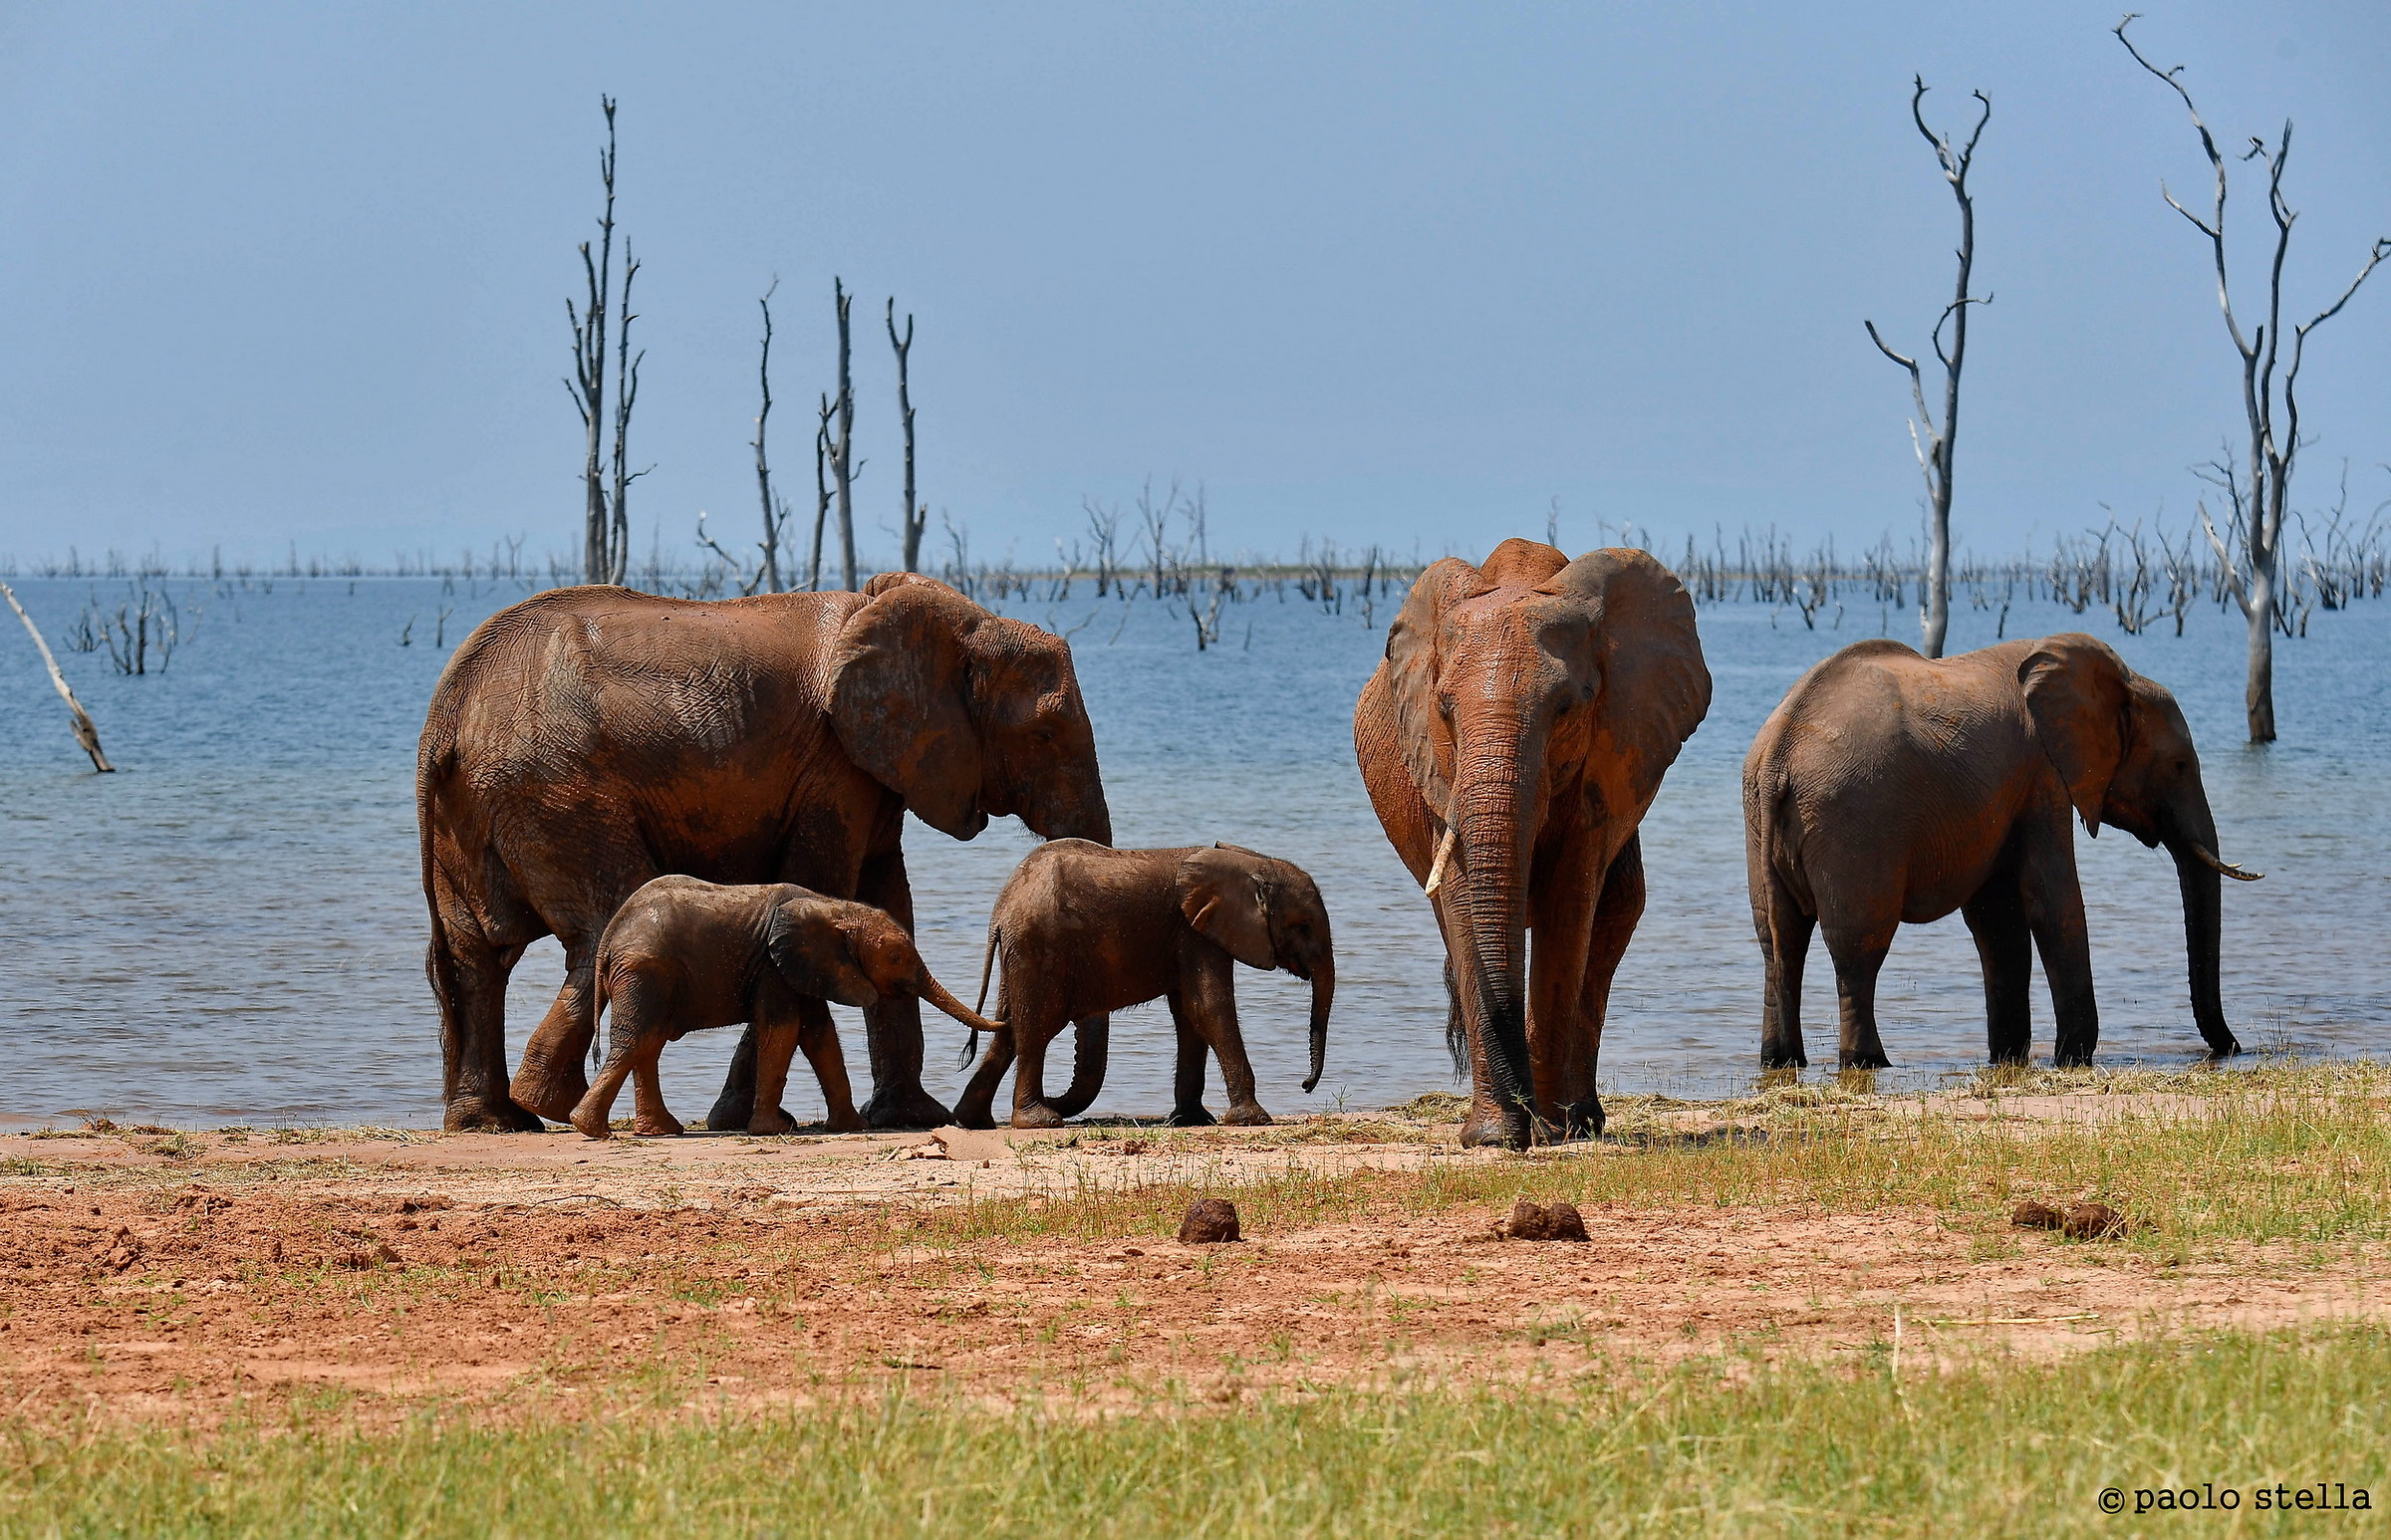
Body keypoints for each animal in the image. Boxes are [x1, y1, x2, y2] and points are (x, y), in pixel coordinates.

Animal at [568, 877, 1005, 1140]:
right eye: (896, 958)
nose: (1003, 1022)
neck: (835, 908)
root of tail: (609, 937)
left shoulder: (807, 967)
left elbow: (819, 1035)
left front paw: (852, 1126)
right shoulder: (773, 967)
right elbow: (784, 1029)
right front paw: (771, 1129)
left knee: (648, 1044)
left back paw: (657, 1132)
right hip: (646, 972)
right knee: (638, 1041)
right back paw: (592, 1129)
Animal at [950, 840, 1333, 1129]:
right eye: (1303, 927)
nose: (1305, 1085)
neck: (1250, 861)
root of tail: (1001, 911)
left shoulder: (1189, 936)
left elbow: (1190, 1014)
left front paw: (1191, 1119)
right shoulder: (1196, 934)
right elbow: (1210, 1006)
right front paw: (1254, 1119)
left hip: (1020, 955)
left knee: (1008, 1029)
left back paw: (972, 1121)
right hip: (1039, 946)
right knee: (1035, 1026)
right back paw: (1041, 1122)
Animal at [1354, 540, 1711, 1150]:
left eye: (1567, 708)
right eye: (1444, 708)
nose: (1520, 1120)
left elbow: (1568, 905)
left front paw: (1547, 1130)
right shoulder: (1435, 769)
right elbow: (1459, 901)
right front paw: (1494, 1137)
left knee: (1616, 911)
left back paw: (1581, 1122)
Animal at [1743, 633, 2259, 1070]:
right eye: (2180, 765)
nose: (2232, 1050)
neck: (2121, 677)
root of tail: (1778, 754)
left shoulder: (2005, 791)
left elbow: (1999, 916)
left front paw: (2010, 1057)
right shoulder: (2044, 773)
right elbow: (2052, 899)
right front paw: (2073, 1058)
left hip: (1762, 823)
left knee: (1779, 941)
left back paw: (1780, 1060)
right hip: (1853, 819)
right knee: (1858, 946)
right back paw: (1867, 1062)